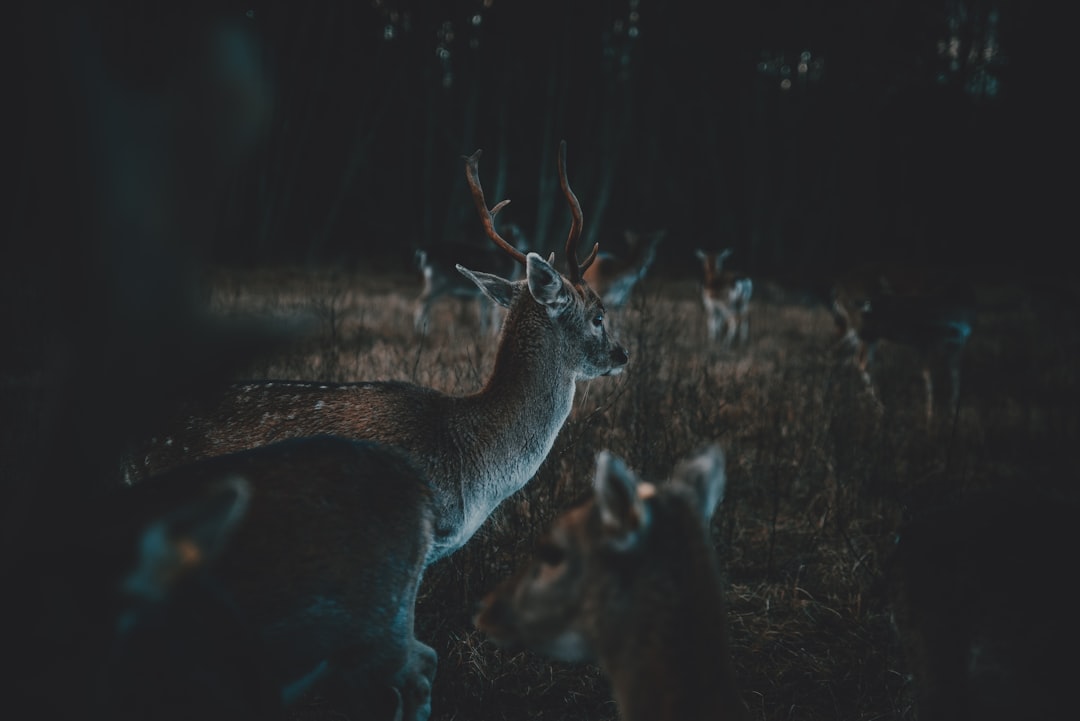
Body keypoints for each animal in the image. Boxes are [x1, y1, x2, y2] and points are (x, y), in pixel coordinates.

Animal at [830, 262, 975, 424]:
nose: (864, 304)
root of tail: (837, 288)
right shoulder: (925, 339)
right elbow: (930, 377)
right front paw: (930, 419)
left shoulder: (957, 342)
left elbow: (956, 378)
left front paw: (952, 415)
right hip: (865, 330)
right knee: (860, 360)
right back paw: (879, 409)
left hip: (860, 330)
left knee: (840, 351)